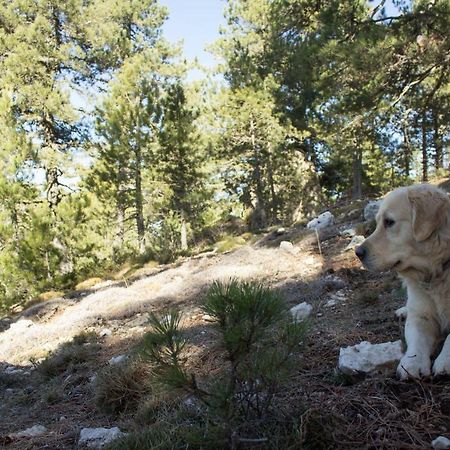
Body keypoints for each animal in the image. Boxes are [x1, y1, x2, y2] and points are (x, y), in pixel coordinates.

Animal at [356, 184, 450, 380]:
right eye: (378, 223)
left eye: (389, 222)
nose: (358, 252)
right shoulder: (420, 316)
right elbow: (417, 340)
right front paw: (412, 363)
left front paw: (445, 361)